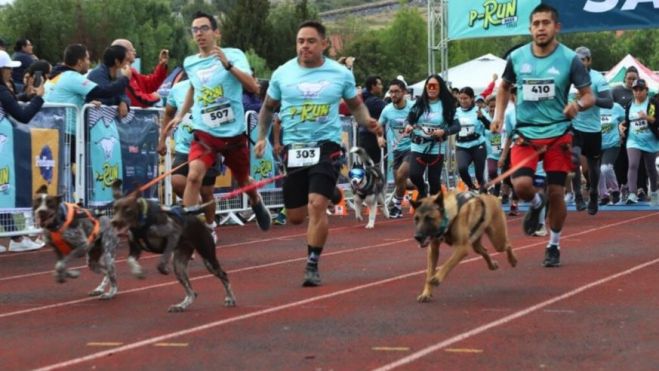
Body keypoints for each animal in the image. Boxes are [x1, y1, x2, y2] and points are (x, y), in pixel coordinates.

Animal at [111, 179, 237, 312]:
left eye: (127, 209)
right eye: (114, 209)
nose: (114, 221)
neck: (143, 221)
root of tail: (199, 221)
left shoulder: (173, 235)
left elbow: (163, 258)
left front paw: (162, 267)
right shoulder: (135, 248)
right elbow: (130, 260)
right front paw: (137, 271)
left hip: (208, 258)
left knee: (223, 276)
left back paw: (230, 298)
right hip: (180, 266)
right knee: (192, 293)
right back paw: (181, 306)